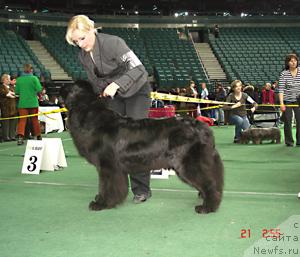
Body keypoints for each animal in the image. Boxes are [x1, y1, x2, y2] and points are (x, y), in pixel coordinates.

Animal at [61, 81, 224, 213]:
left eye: (66, 87)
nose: (59, 89)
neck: (88, 112)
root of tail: (202, 127)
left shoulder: (108, 166)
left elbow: (106, 185)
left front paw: (102, 203)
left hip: (188, 163)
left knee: (209, 182)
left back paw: (208, 206)